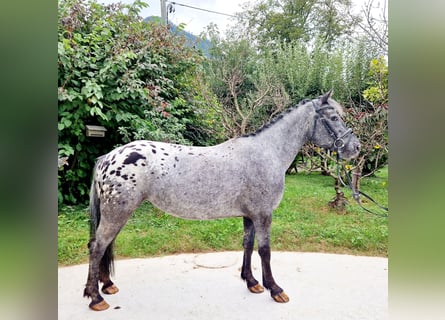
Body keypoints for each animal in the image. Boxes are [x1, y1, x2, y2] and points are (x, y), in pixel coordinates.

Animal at [84, 90, 360, 310]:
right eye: (334, 118)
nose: (355, 148)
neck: (267, 153)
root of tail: (109, 157)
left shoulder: (250, 215)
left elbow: (247, 245)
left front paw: (252, 282)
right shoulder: (263, 215)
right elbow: (265, 251)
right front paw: (275, 289)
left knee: (105, 246)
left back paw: (107, 286)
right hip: (117, 213)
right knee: (98, 246)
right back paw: (96, 298)